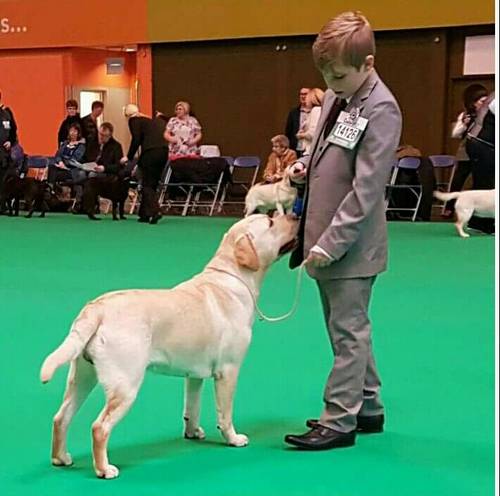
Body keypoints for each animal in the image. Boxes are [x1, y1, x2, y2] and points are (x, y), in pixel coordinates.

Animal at [40, 215, 296, 478]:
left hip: (82, 377)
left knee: (61, 417)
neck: (232, 276)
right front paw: (233, 439)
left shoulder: (194, 375)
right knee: (99, 427)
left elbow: (191, 407)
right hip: (125, 385)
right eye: (270, 221)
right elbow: (225, 413)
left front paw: (193, 433)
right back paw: (104, 469)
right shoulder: (228, 371)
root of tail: (96, 308)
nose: (296, 215)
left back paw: (61, 458)